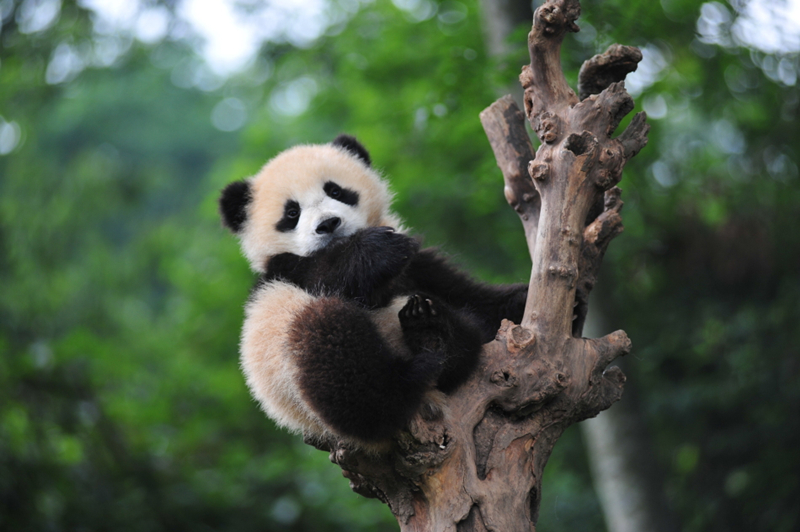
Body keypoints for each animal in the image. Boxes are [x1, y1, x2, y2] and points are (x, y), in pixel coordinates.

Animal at [222, 135, 528, 446]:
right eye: (292, 213)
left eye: (336, 190)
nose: (328, 224)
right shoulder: (291, 272)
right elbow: (334, 277)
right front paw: (378, 250)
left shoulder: (421, 268)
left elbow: (474, 298)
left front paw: (521, 299)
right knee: (333, 347)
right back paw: (414, 367)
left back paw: (434, 330)